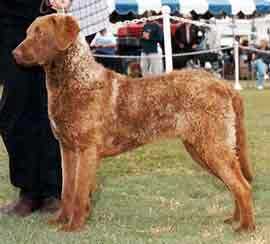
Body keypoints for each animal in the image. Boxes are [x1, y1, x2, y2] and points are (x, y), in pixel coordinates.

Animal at [13, 14, 255, 232]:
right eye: (27, 32)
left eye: (40, 33)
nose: (14, 53)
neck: (74, 81)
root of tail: (225, 85)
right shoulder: (67, 148)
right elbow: (67, 190)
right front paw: (61, 220)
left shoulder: (86, 149)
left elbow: (80, 192)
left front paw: (73, 227)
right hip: (202, 149)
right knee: (235, 184)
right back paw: (234, 220)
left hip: (212, 147)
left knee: (242, 186)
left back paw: (245, 227)